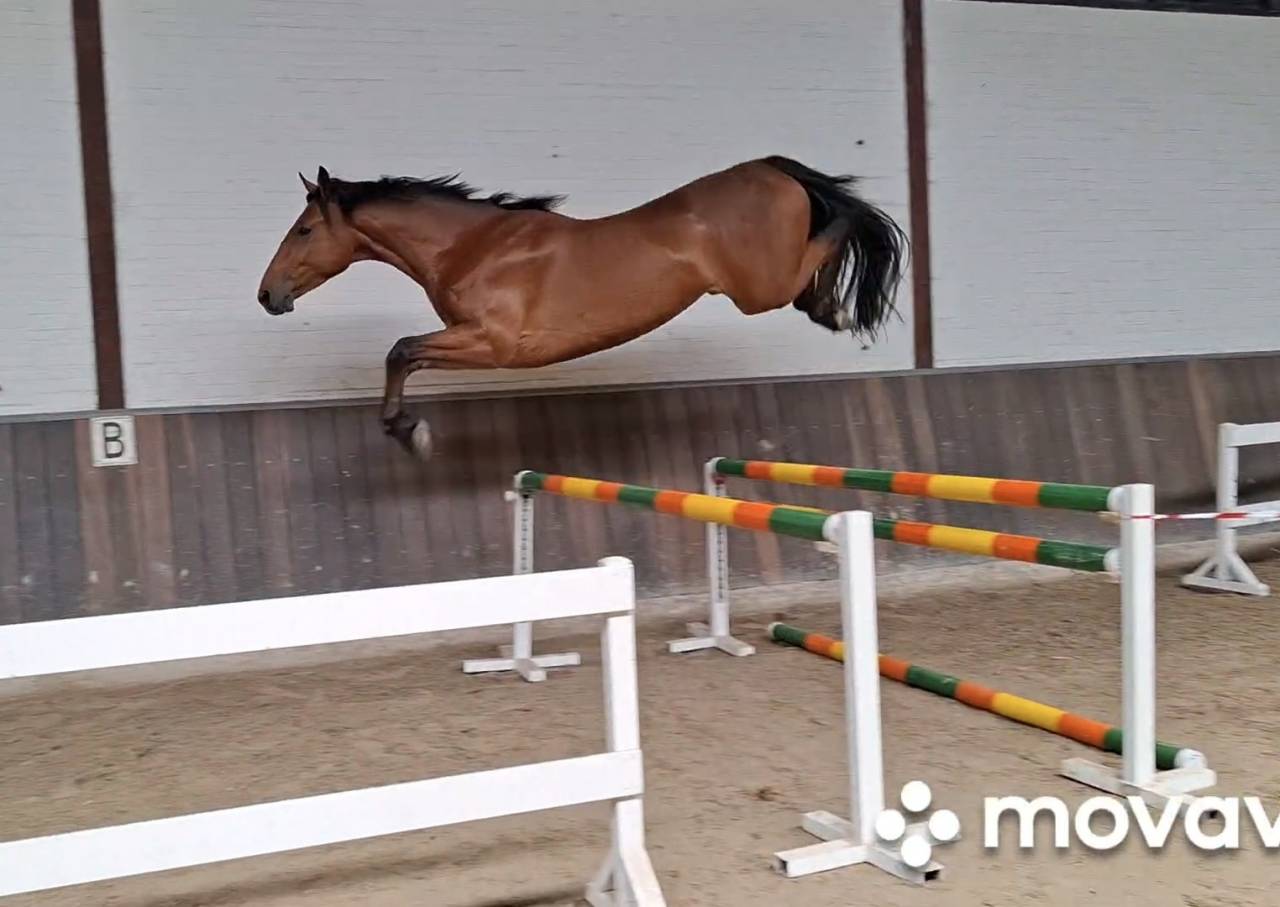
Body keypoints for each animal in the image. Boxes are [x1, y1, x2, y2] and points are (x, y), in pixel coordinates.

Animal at [257, 156, 908, 460]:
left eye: (306, 230)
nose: (269, 295)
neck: (473, 245)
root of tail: (771, 167)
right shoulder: (469, 338)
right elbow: (405, 356)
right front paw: (407, 430)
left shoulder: (492, 343)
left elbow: (400, 351)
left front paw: (410, 433)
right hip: (764, 286)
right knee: (814, 272)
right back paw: (830, 309)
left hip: (756, 289)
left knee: (840, 226)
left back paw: (839, 308)